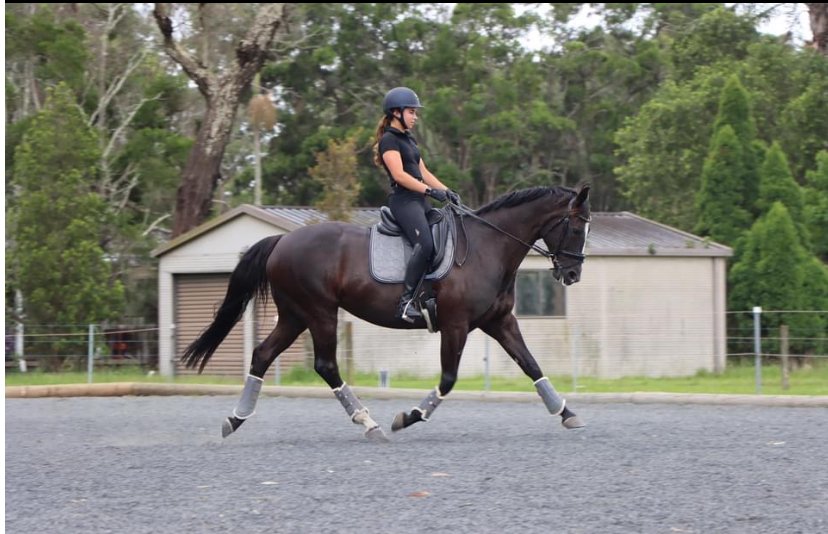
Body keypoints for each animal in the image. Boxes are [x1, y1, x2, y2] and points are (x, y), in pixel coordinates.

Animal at [182, 184, 592, 441]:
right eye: (575, 228)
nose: (573, 275)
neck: (487, 248)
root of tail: (283, 239)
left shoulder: (500, 321)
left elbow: (532, 366)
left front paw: (567, 414)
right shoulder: (456, 325)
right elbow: (448, 379)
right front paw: (408, 417)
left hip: (295, 315)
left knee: (263, 354)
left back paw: (235, 419)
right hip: (319, 312)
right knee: (325, 365)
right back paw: (369, 423)